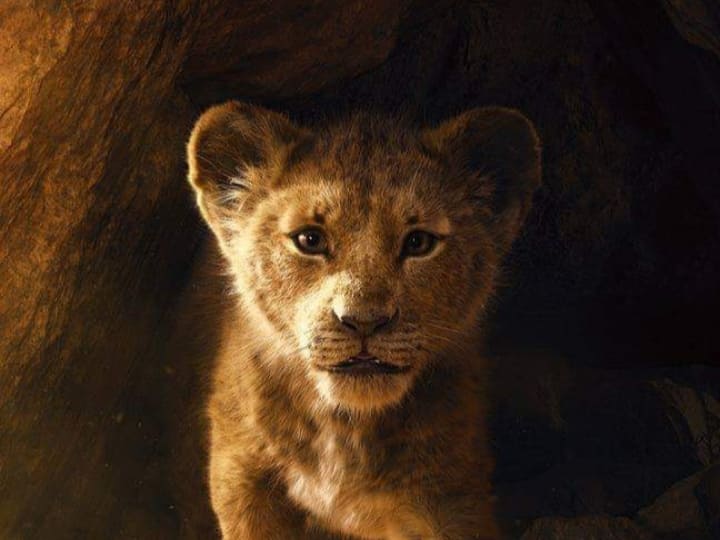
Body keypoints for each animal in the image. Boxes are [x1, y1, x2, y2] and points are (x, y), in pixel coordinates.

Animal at [185, 101, 541, 539]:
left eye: (419, 242)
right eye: (310, 240)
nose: (364, 321)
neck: (345, 430)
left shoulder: (453, 496)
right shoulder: (241, 476)